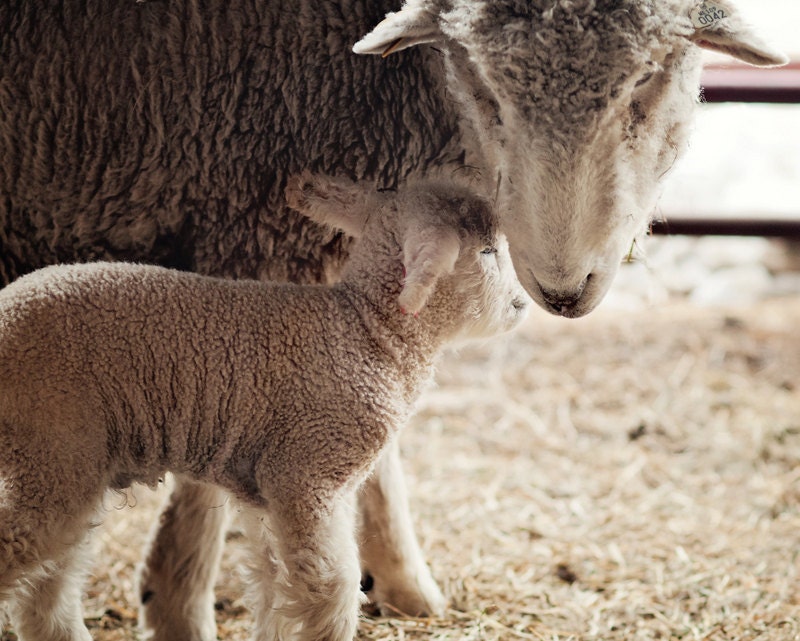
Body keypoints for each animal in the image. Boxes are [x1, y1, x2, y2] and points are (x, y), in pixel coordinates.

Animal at [0, 173, 530, 641]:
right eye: (486, 251)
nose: (523, 306)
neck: (366, 330)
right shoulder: (306, 476)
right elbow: (332, 585)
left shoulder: (272, 494)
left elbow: (275, 585)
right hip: (54, 447)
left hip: (68, 465)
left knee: (47, 588)